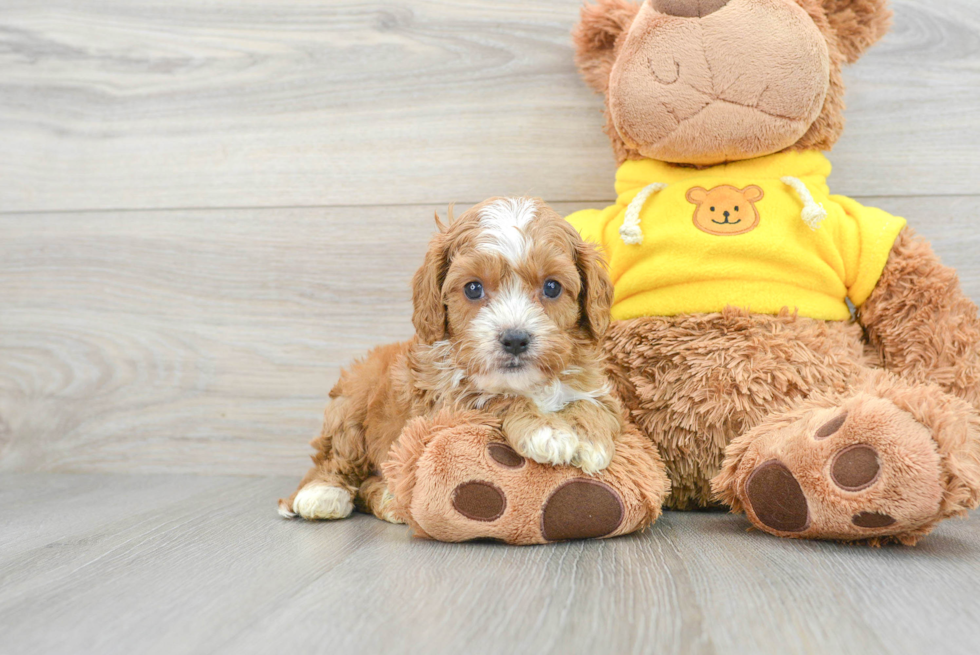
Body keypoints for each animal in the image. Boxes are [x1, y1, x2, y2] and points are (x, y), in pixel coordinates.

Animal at [280, 195, 624, 524]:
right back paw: (322, 494)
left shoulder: (597, 388)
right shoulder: (447, 404)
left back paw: (391, 499)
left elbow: (593, 405)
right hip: (351, 405)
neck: (525, 383)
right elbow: (499, 399)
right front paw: (547, 431)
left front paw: (588, 440)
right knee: (334, 458)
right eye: (473, 288)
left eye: (552, 287)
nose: (514, 339)